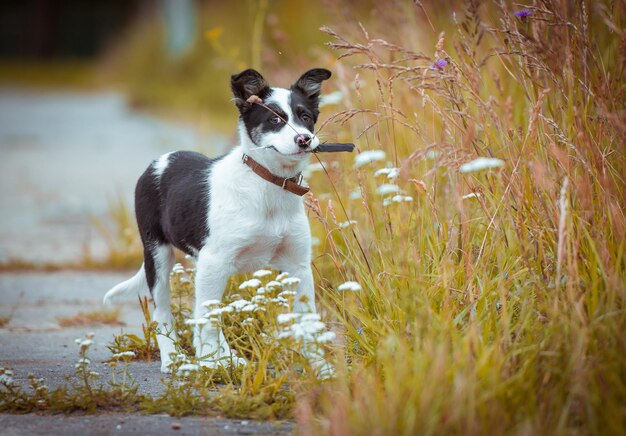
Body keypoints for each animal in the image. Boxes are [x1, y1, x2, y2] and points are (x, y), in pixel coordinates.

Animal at [102, 68, 332, 372]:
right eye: (275, 119)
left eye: (305, 116)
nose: (304, 139)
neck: (267, 184)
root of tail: (160, 161)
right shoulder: (215, 260)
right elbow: (207, 318)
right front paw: (211, 363)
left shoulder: (298, 266)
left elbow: (308, 320)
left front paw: (320, 367)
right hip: (158, 254)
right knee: (164, 312)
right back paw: (174, 359)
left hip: (203, 262)